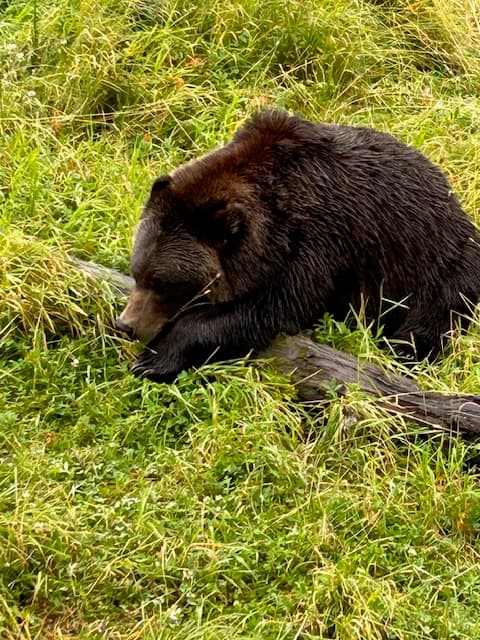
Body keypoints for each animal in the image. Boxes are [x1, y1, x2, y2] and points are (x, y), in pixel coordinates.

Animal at [117, 110, 480, 382]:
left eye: (164, 284)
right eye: (138, 273)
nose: (126, 325)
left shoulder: (322, 239)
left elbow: (276, 305)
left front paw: (153, 359)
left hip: (443, 268)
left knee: (429, 322)